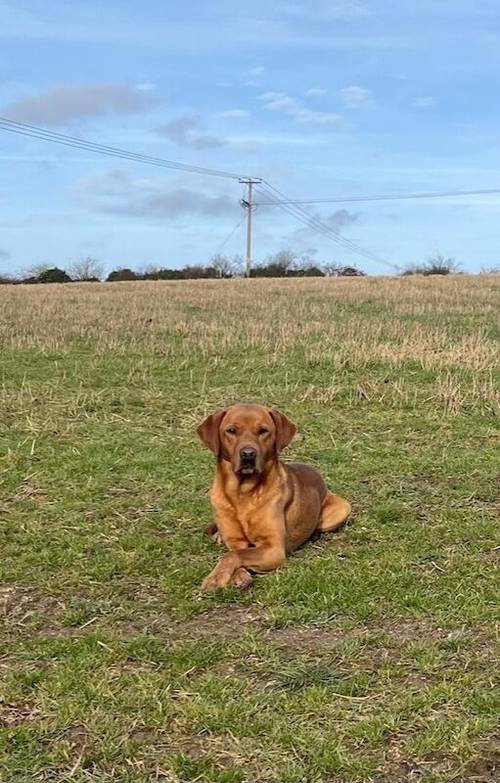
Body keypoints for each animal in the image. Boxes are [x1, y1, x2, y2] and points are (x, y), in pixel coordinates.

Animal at [196, 404, 352, 588]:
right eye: (231, 430)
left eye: (263, 431)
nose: (248, 454)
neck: (243, 493)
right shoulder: (235, 541)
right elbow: (234, 553)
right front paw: (238, 575)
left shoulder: (274, 548)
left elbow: (234, 555)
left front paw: (215, 578)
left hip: (342, 508)